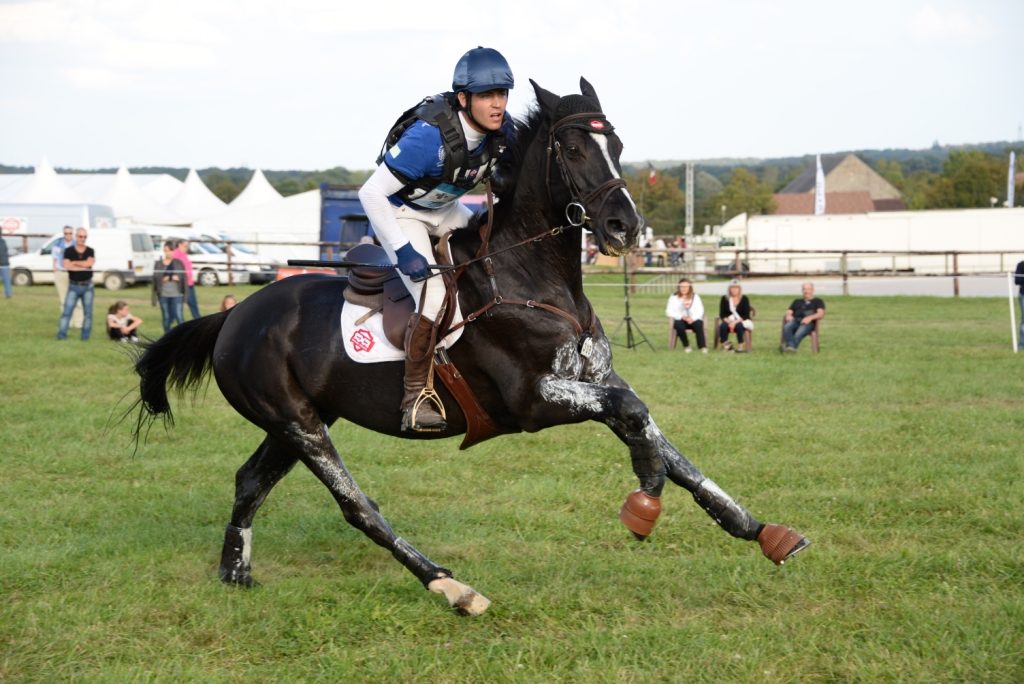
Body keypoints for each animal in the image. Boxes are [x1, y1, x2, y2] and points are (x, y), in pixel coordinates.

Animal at [134, 78, 806, 614]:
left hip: (296, 419)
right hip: (300, 423)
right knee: (356, 506)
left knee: (250, 480)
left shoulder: (596, 381)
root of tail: (235, 316)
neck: (535, 278)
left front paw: (759, 530)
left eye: (616, 145)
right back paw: (451, 587)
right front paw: (644, 497)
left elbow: (659, 437)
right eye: (573, 148)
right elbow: (636, 420)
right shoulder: (534, 401)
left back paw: (236, 571)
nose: (625, 228)